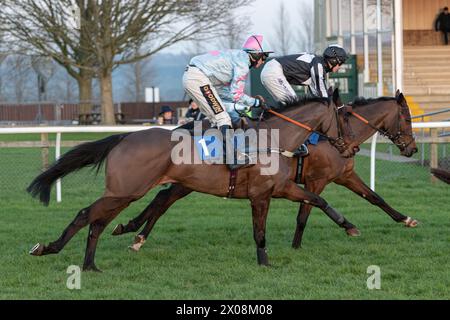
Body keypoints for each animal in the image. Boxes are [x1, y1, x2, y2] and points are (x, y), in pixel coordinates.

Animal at [28, 97, 356, 270]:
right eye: (344, 120)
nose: (351, 146)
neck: (273, 141)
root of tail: (124, 136)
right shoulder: (261, 195)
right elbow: (260, 231)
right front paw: (264, 261)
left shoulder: (282, 189)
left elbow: (319, 200)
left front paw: (349, 225)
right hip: (126, 190)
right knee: (88, 214)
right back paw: (51, 249)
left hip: (127, 191)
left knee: (99, 220)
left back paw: (90, 263)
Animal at [111, 90, 418, 252]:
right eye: (407, 117)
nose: (413, 149)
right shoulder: (317, 180)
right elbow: (307, 210)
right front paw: (298, 244)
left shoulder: (344, 175)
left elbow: (375, 197)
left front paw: (406, 219)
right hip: (188, 181)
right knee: (162, 200)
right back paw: (135, 233)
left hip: (187, 180)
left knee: (161, 199)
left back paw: (134, 231)